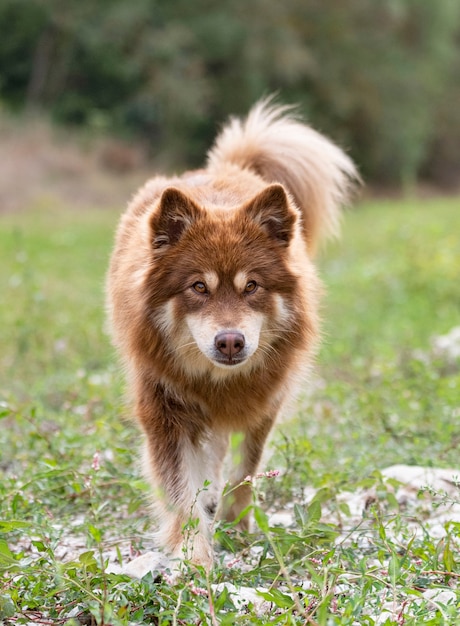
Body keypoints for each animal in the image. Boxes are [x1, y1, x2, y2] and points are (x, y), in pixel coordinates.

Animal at [106, 98, 358, 572]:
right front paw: (196, 557)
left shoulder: (262, 405)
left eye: (252, 286)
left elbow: (245, 471)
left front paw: (237, 528)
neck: (217, 381)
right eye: (198, 287)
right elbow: (181, 491)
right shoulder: (164, 410)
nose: (230, 341)